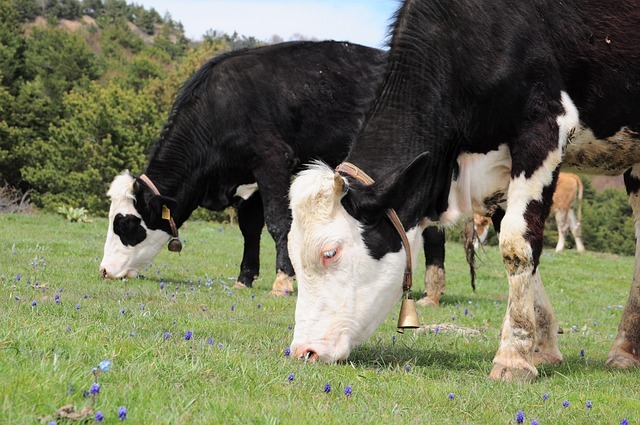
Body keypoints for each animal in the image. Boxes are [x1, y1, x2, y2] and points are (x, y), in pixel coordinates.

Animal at [99, 40, 384, 294]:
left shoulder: (272, 160)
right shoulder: (249, 177)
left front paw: (283, 279)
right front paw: (244, 278)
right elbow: (250, 226)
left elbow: (278, 222)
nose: (104, 270)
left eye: (126, 224)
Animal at [288, 0, 640, 380]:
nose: (303, 351)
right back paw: (626, 350)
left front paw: (514, 357)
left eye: (330, 252)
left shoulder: (543, 127)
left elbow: (517, 246)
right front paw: (542, 347)